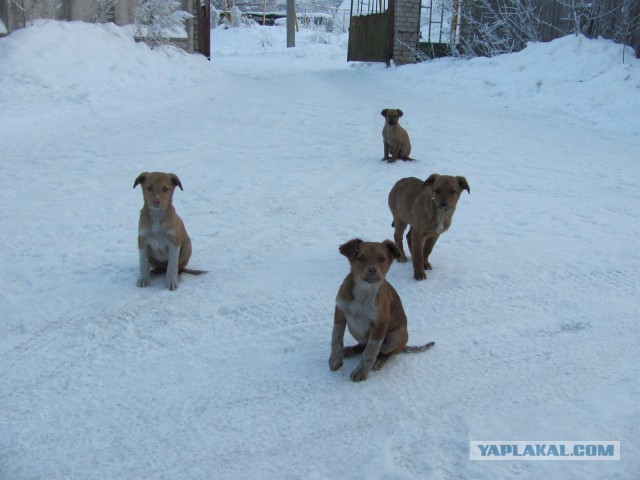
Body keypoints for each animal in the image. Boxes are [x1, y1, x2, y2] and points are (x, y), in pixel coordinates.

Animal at [330, 238, 436, 380]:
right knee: (362, 345)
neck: (364, 290)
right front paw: (335, 360)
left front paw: (361, 372)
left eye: (382, 259)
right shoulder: (340, 312)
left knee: (386, 352)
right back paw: (349, 350)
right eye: (361, 258)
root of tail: (404, 346)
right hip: (353, 328)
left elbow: (371, 351)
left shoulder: (380, 324)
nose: (372, 270)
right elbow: (336, 338)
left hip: (395, 337)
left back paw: (379, 360)